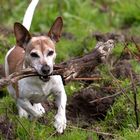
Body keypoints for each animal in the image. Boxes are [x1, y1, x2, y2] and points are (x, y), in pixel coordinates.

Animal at [4, 0, 67, 133]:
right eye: (34, 54)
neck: (41, 81)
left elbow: (61, 107)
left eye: (50, 52)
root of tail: (17, 46)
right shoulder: (22, 99)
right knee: (19, 103)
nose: (46, 69)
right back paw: (24, 113)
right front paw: (34, 116)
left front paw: (60, 122)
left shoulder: (60, 92)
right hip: (11, 89)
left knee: (38, 100)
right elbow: (33, 112)